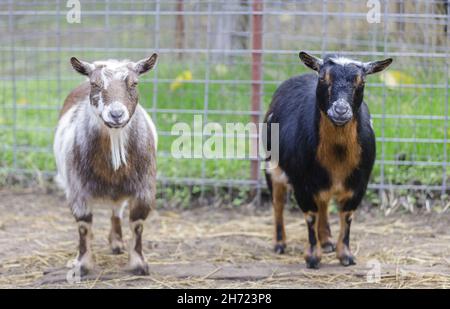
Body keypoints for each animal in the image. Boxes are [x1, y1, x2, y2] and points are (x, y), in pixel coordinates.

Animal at [54, 53, 158, 274]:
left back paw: (116, 243)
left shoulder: (144, 188)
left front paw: (139, 264)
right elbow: (83, 226)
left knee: (117, 209)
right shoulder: (77, 190)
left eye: (134, 83)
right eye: (95, 84)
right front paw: (82, 264)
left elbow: (137, 224)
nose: (116, 114)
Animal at [266, 50, 392, 268]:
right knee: (278, 203)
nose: (340, 110)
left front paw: (345, 255)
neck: (337, 157)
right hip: (272, 166)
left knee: (323, 204)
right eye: (323, 78)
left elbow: (346, 216)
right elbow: (310, 216)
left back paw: (326, 241)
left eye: (361, 82)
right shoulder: (301, 183)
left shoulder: (359, 184)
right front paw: (312, 258)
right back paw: (280, 243)